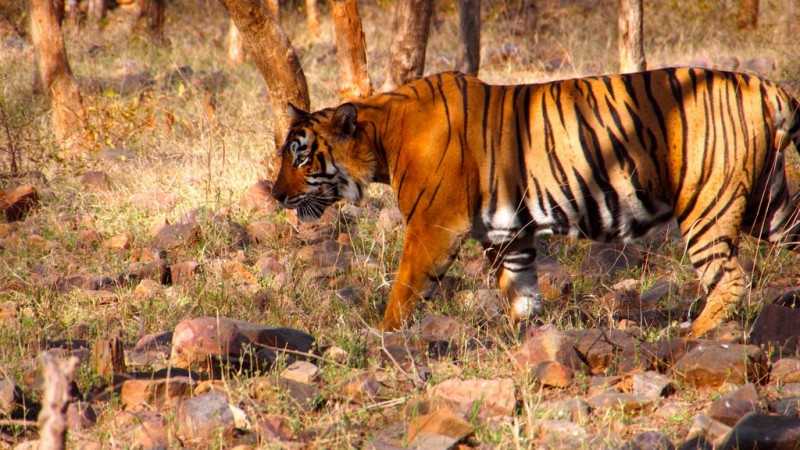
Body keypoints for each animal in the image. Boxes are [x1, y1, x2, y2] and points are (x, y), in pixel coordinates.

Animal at [270, 67, 800, 338]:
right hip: (768, 205)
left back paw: (690, 338)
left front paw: (384, 333)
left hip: (707, 204)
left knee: (730, 280)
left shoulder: (433, 225)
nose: (275, 194)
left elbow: (405, 286)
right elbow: (521, 290)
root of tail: (768, 87)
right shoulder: (508, 233)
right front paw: (521, 337)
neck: (382, 136)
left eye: (300, 157)